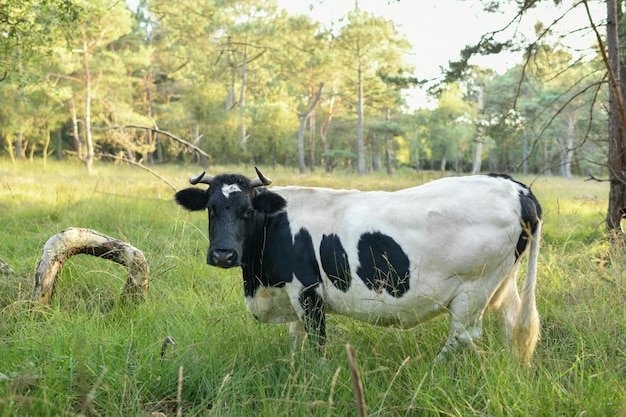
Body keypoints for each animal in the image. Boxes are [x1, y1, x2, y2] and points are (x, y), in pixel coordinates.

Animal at [173, 167, 540, 362]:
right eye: (211, 209)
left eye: (247, 210)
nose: (223, 255)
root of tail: (514, 186)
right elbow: (295, 337)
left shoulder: (307, 290)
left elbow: (317, 340)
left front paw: (316, 373)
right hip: (501, 283)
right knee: (511, 324)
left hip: (474, 288)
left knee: (463, 334)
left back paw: (434, 367)